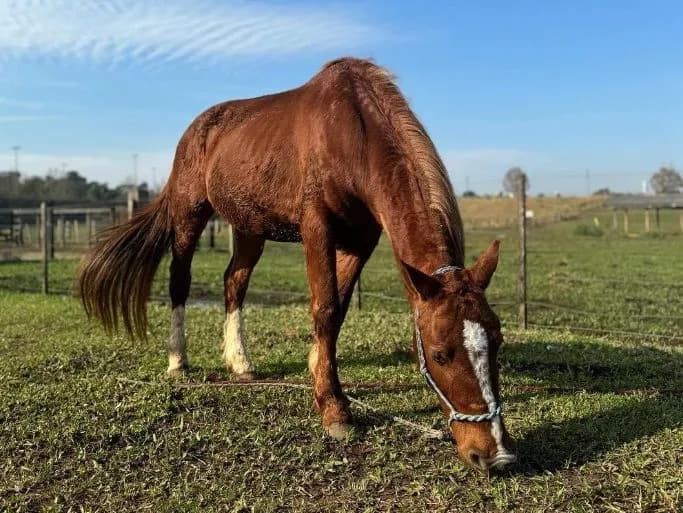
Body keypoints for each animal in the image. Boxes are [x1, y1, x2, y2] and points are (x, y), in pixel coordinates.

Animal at [77, 57, 515, 471]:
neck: (352, 133)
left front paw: (319, 372)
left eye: (496, 341)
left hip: (249, 227)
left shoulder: (361, 240)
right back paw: (178, 359)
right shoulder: (316, 227)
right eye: (440, 354)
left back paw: (240, 363)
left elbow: (337, 311)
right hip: (189, 215)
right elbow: (324, 307)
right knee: (179, 281)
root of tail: (197, 128)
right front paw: (334, 408)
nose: (495, 455)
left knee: (234, 282)